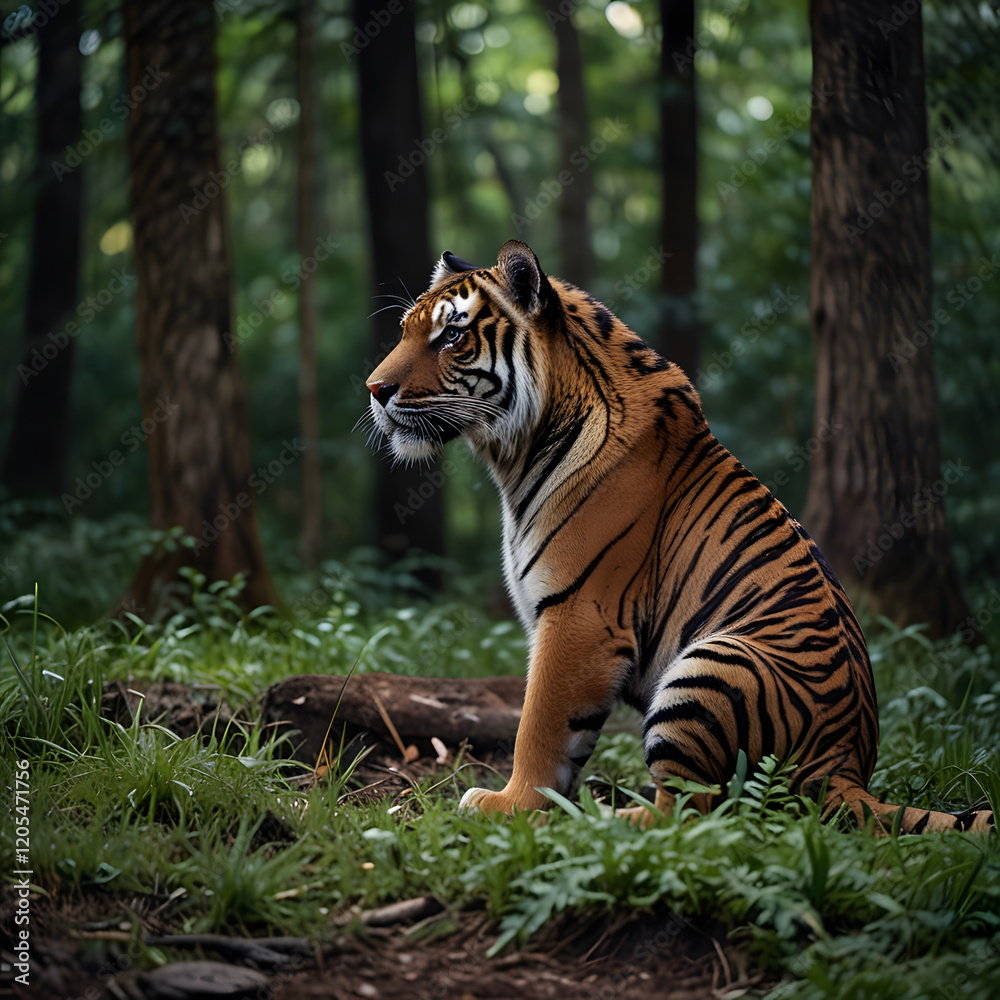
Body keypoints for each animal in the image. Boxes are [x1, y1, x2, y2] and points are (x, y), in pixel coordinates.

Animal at [363, 239, 994, 835]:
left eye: (452, 336)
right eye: (406, 330)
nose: (374, 389)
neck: (514, 454)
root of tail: (848, 770)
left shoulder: (580, 617)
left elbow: (538, 727)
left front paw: (507, 805)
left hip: (713, 663)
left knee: (692, 813)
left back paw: (604, 816)